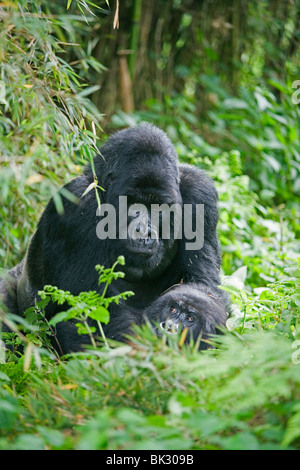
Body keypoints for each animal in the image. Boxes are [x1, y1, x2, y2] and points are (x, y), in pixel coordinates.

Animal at [0, 123, 227, 350]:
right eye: (132, 204)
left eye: (158, 208)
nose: (144, 231)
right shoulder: (75, 204)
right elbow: (86, 313)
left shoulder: (200, 194)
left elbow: (202, 282)